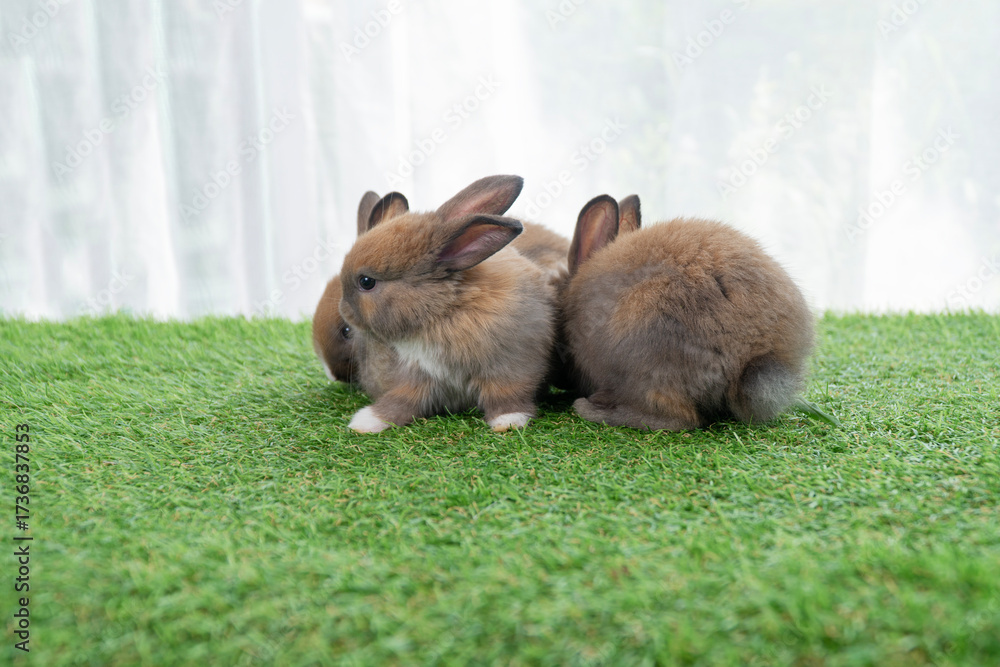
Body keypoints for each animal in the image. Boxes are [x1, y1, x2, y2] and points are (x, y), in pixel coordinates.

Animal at [338, 175, 557, 433]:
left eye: (366, 282)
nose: (344, 311)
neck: (441, 311)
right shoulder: (416, 375)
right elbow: (401, 401)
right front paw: (365, 422)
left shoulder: (509, 367)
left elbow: (507, 396)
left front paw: (508, 422)